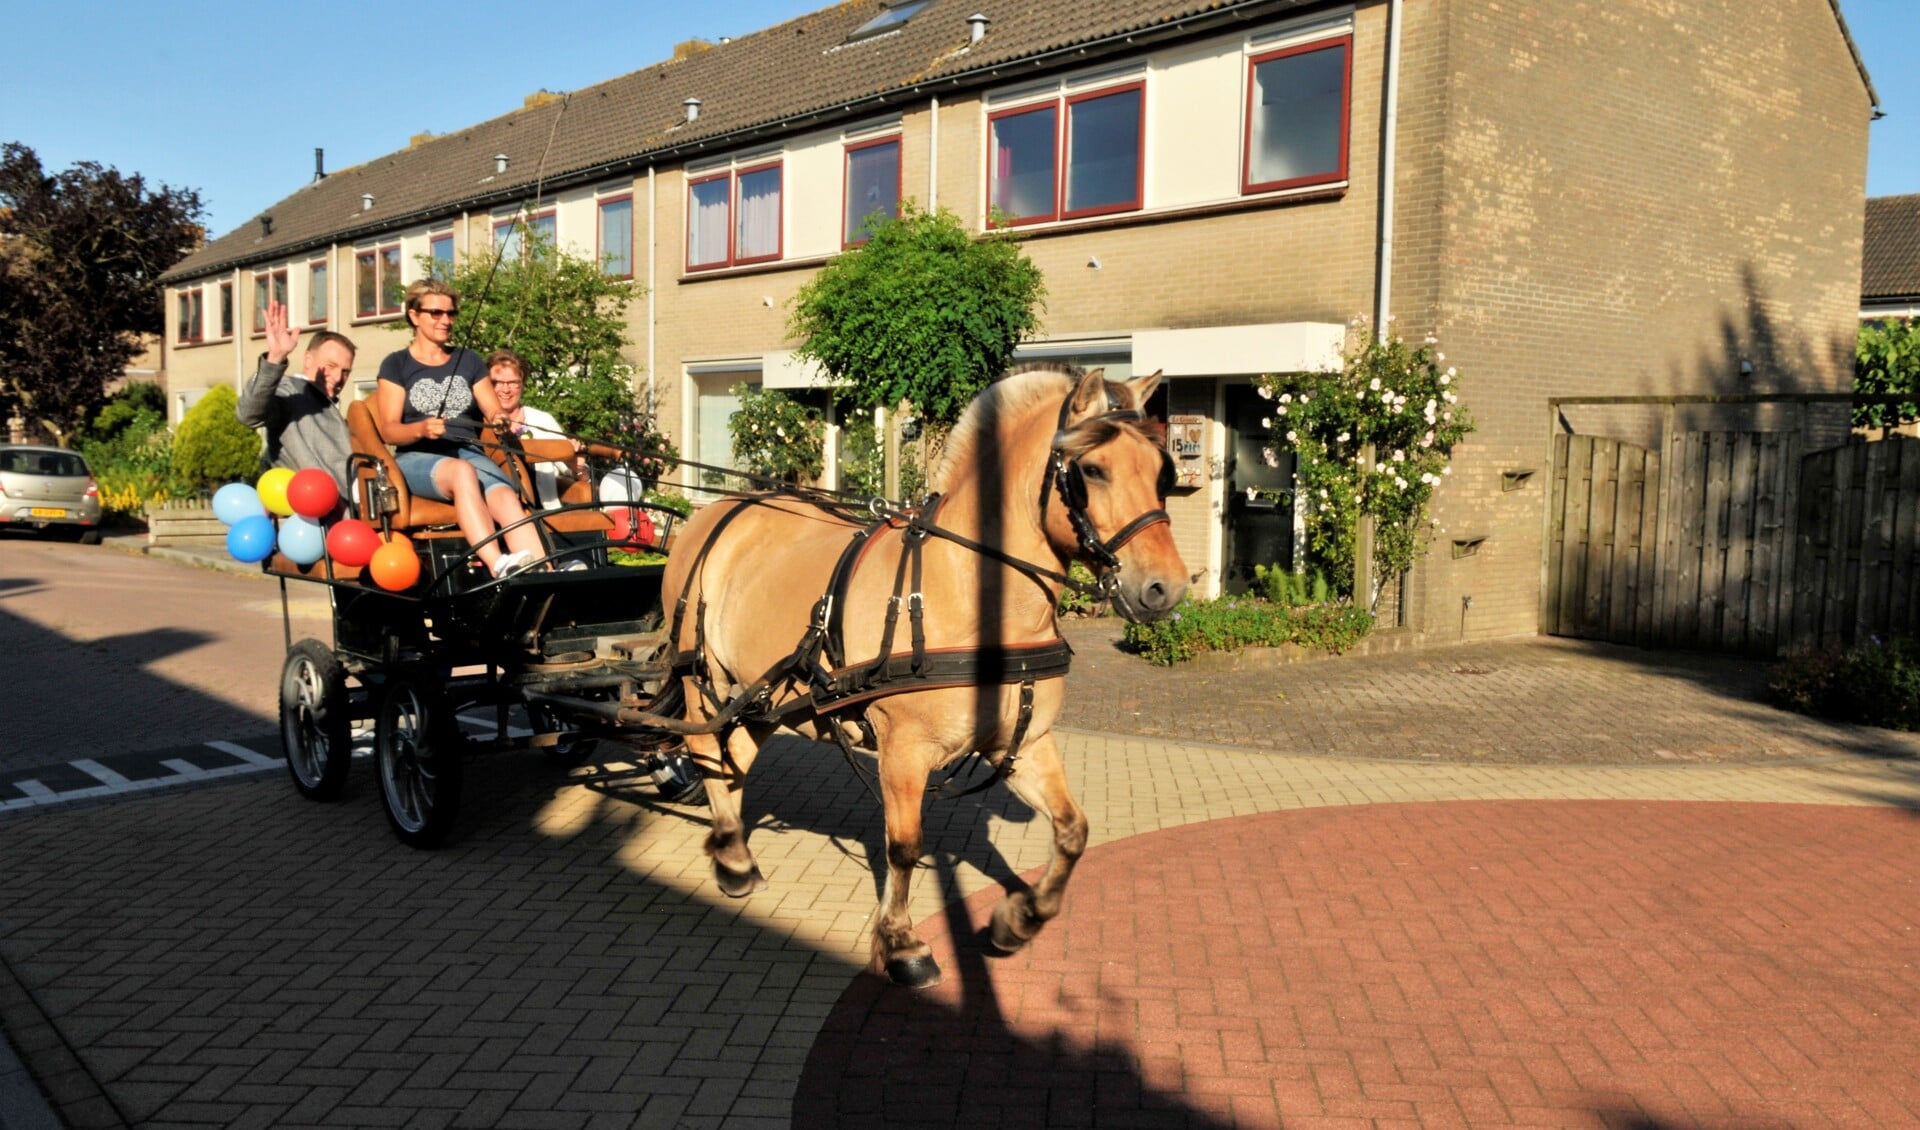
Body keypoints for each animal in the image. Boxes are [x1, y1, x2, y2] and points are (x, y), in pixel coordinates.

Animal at [668, 366, 1190, 982]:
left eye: (1161, 472)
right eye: (1092, 470)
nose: (1166, 588)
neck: (966, 593)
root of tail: (716, 511)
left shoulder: (1023, 742)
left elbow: (1072, 829)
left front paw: (1020, 919)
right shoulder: (904, 748)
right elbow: (905, 845)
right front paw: (901, 943)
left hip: (766, 693)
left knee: (737, 759)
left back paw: (735, 857)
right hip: (704, 680)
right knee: (706, 750)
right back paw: (730, 852)